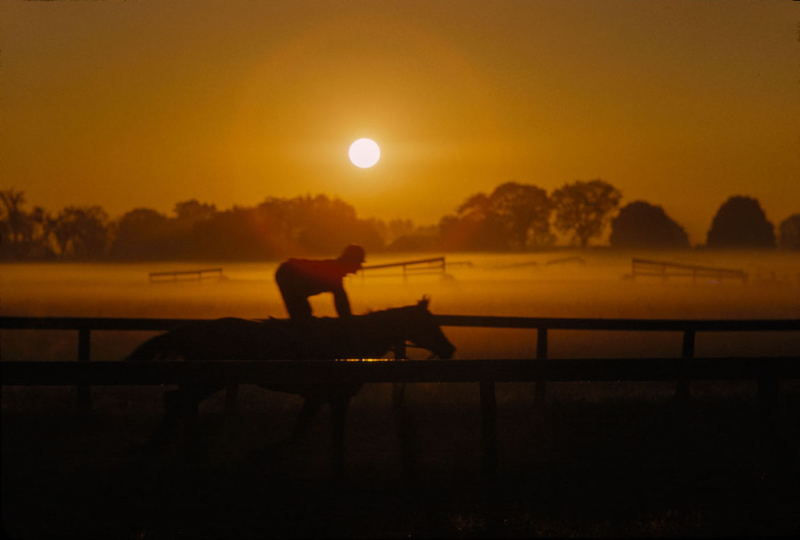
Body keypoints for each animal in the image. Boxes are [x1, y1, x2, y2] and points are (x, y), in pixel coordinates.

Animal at [126, 296, 456, 472]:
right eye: (429, 323)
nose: (450, 349)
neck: (348, 343)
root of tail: (192, 329)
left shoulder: (326, 398)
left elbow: (309, 431)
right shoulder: (328, 397)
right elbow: (307, 432)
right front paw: (261, 453)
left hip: (209, 379)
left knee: (177, 400)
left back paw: (160, 445)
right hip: (211, 378)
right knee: (177, 400)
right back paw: (159, 445)